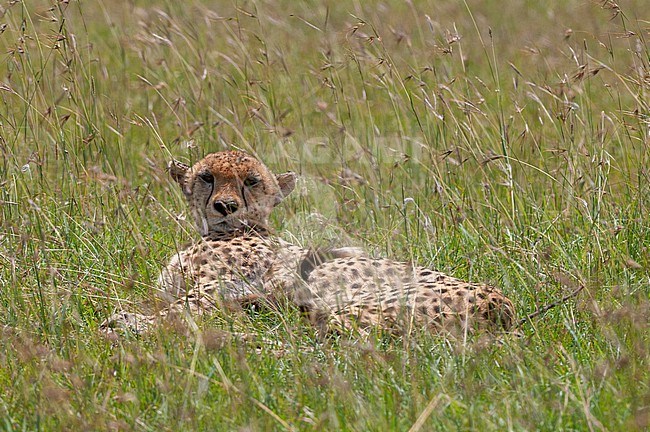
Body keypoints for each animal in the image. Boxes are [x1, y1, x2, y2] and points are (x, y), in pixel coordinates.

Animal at [101, 152, 512, 338]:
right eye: (207, 177)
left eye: (251, 182)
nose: (226, 207)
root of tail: (500, 304)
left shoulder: (216, 287)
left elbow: (180, 309)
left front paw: (129, 321)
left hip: (353, 307)